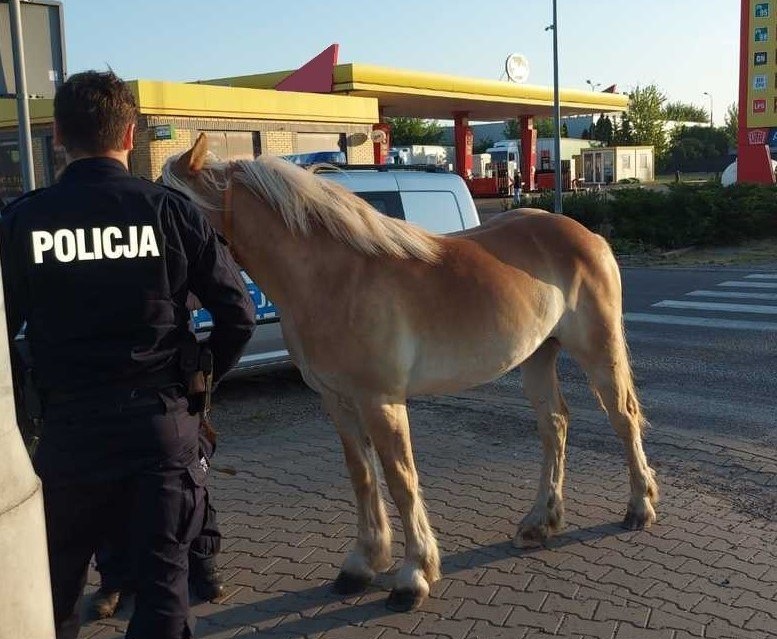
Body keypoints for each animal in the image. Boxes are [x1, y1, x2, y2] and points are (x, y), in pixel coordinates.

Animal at [162, 132, 656, 612]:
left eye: (173, 211)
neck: (332, 279)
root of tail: (587, 235)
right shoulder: (338, 402)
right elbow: (363, 477)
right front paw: (362, 564)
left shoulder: (381, 402)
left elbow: (401, 481)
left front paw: (413, 575)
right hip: (537, 355)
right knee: (554, 425)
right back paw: (539, 522)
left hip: (599, 352)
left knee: (623, 419)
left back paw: (639, 508)